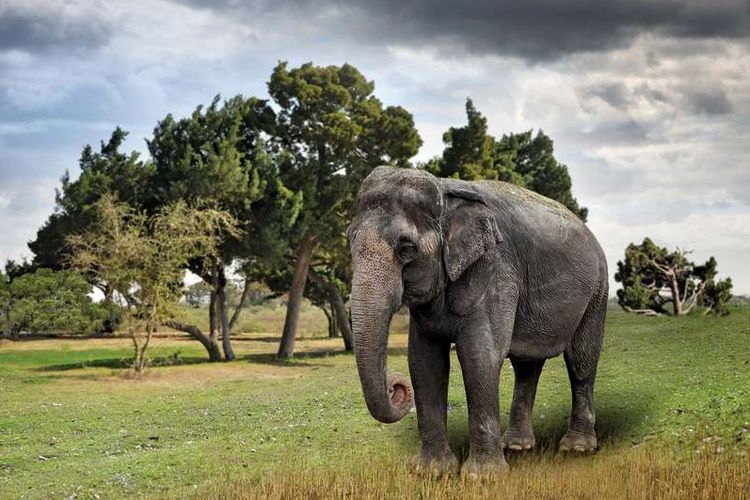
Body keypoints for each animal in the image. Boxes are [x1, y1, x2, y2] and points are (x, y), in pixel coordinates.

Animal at [350, 166, 608, 474]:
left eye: (407, 248)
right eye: (350, 241)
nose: (395, 387)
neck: (445, 188)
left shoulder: (496, 269)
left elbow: (480, 355)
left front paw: (482, 477)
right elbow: (424, 361)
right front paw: (432, 472)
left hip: (597, 291)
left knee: (581, 361)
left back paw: (576, 448)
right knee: (527, 366)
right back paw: (517, 447)